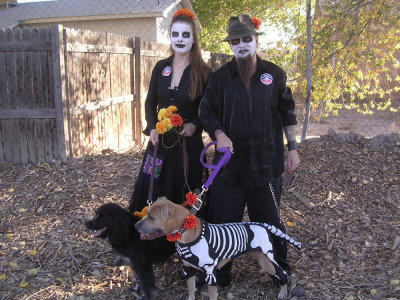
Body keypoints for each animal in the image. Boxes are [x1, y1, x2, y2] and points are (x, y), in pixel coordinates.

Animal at [134, 197, 300, 300]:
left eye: (151, 217)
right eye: (147, 214)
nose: (135, 226)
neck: (187, 233)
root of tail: (262, 225)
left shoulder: (210, 273)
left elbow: (212, 294)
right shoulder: (188, 269)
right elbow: (190, 289)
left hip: (267, 259)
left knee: (283, 273)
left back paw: (283, 292)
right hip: (261, 257)